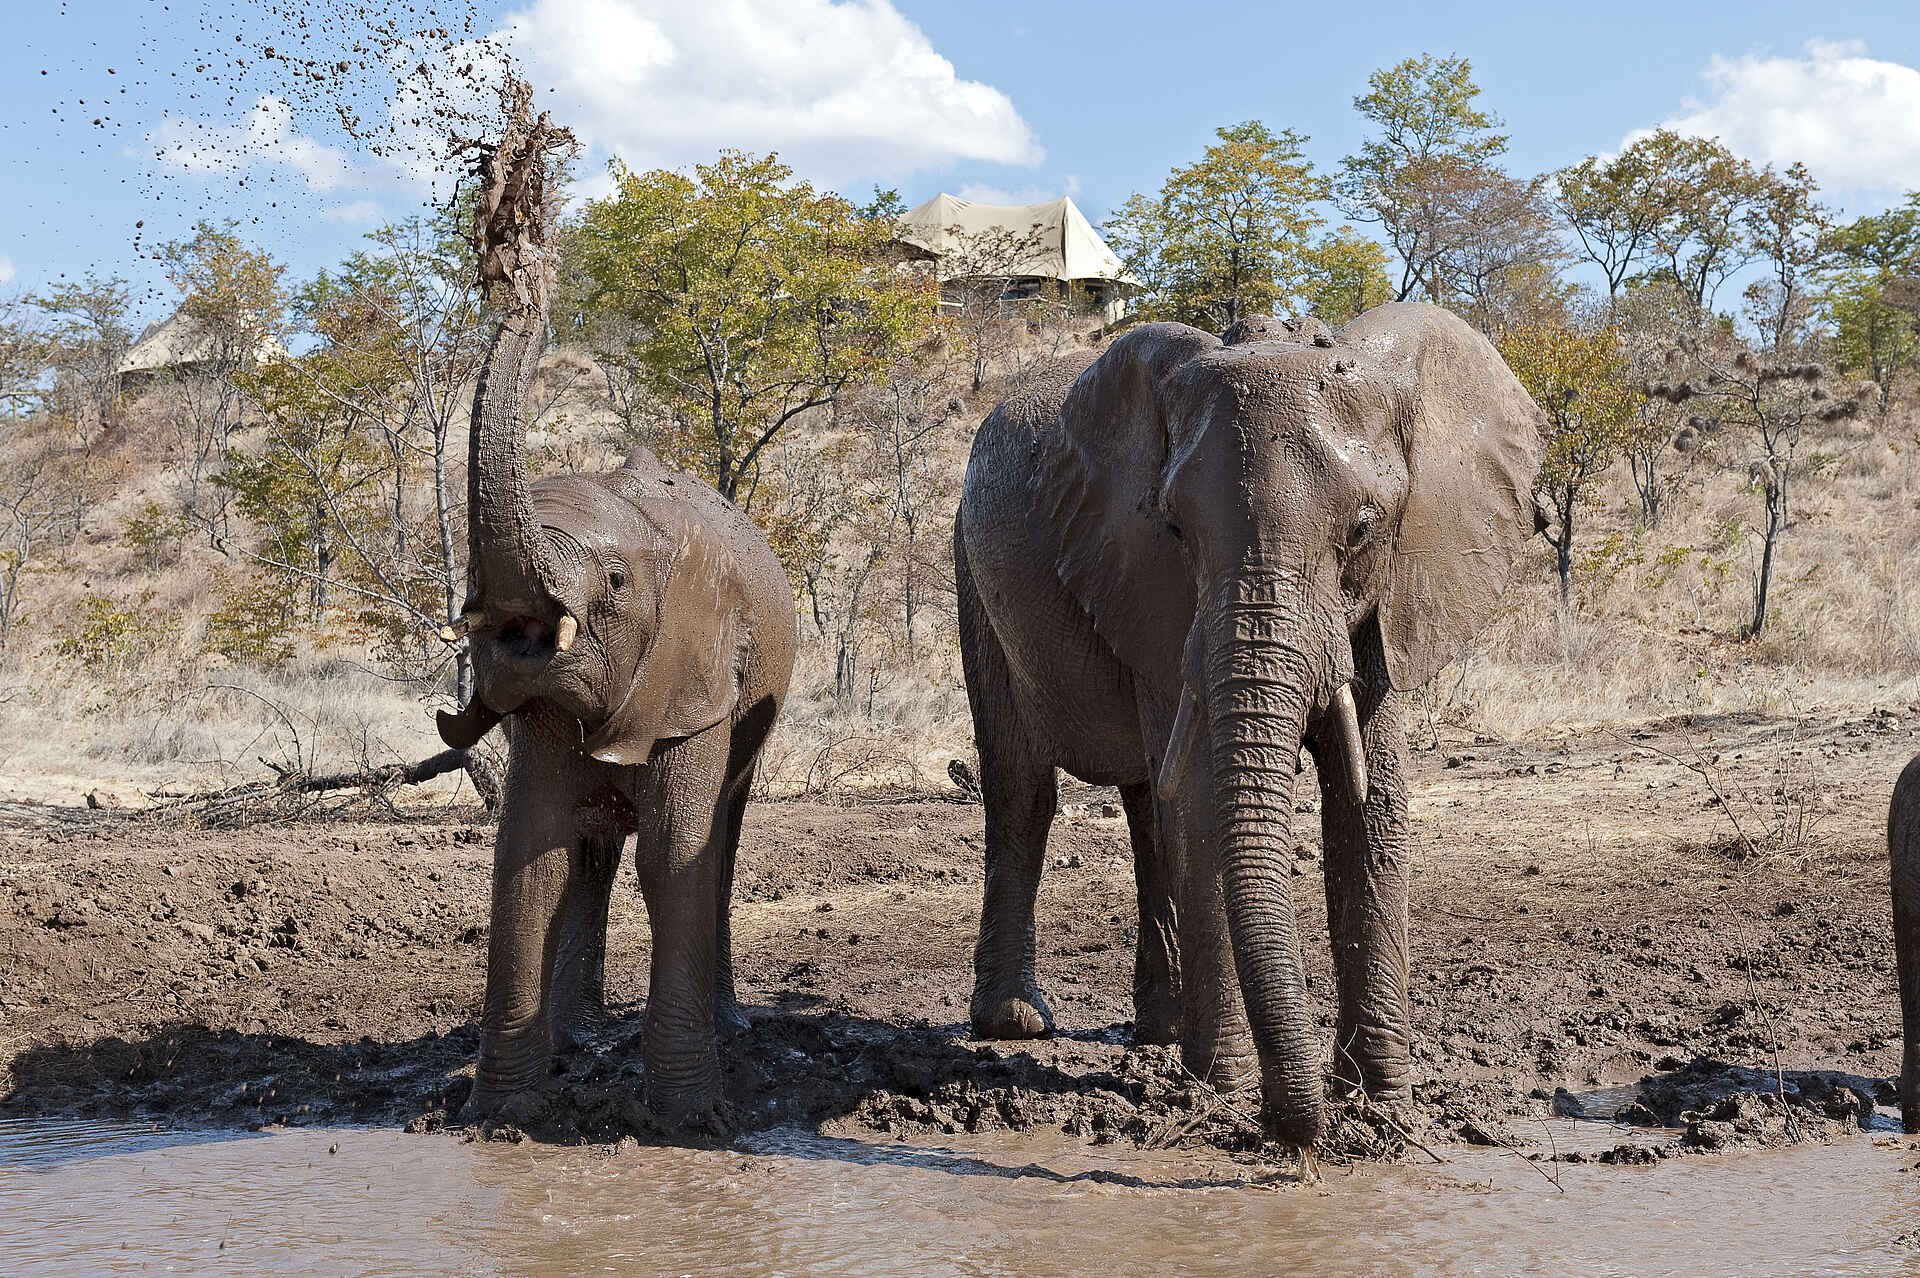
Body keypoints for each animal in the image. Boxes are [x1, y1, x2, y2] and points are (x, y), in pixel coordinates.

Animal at [436, 117, 795, 1127]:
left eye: (615, 579)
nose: (517, 253)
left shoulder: (697, 681)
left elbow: (676, 857)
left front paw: (687, 1121)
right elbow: (527, 861)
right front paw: (497, 1117)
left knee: (719, 841)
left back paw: (721, 1028)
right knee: (591, 851)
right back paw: (576, 1036)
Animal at [953, 303, 1542, 1146]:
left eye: (1362, 529)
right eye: (1173, 527)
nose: (1306, 1127)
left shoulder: (1392, 594)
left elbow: (1372, 804)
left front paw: (1382, 1110)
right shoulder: (1151, 582)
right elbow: (1203, 798)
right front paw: (1224, 1099)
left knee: (1145, 803)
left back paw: (1162, 1032)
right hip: (971, 572)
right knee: (1023, 790)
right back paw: (1017, 1023)